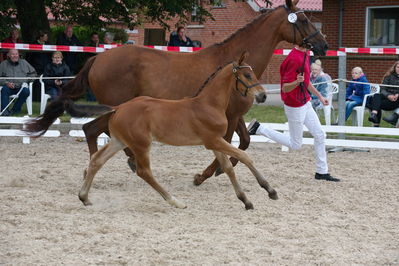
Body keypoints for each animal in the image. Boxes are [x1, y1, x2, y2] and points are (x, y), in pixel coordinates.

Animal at [77, 53, 278, 209]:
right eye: (247, 75)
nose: (263, 95)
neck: (209, 104)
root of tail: (118, 108)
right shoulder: (213, 140)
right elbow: (244, 157)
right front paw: (270, 190)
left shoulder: (214, 142)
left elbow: (228, 167)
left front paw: (246, 200)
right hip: (141, 144)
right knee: (144, 171)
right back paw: (175, 201)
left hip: (120, 141)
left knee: (97, 160)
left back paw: (84, 197)